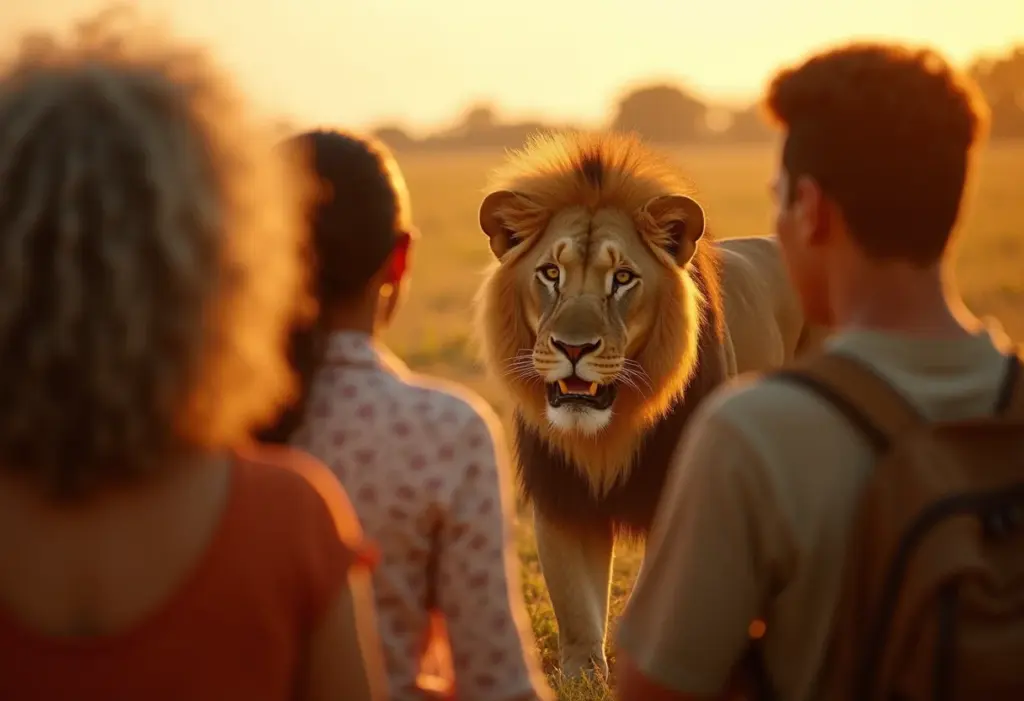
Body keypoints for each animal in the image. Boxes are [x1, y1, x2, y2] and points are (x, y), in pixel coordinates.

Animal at [472, 130, 828, 679]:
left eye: (622, 278)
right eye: (550, 273)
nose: (573, 348)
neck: (608, 428)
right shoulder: (561, 494)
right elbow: (576, 605)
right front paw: (581, 675)